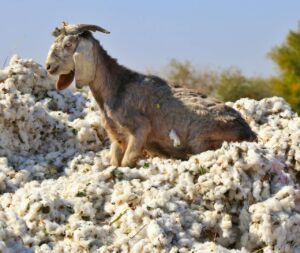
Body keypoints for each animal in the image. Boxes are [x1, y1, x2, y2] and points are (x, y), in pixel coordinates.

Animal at [45, 22, 256, 168]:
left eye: (68, 44)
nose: (48, 66)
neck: (117, 85)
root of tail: (250, 134)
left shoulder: (140, 128)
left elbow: (127, 162)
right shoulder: (116, 136)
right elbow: (115, 162)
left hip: (201, 140)